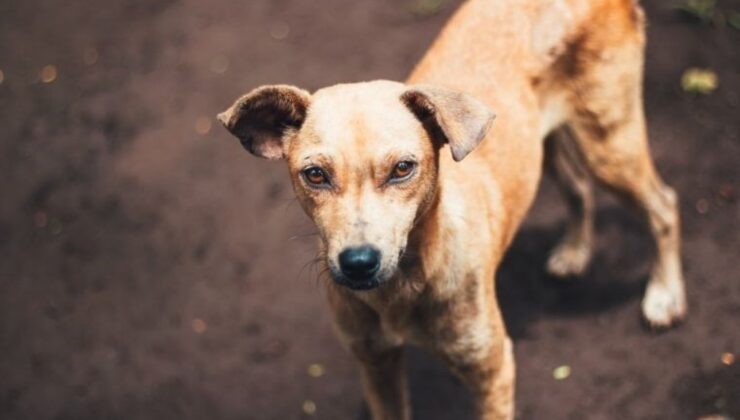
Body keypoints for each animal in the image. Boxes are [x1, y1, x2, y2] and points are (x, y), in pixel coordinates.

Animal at [217, 1, 684, 418]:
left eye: (403, 168)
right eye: (314, 174)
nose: (359, 263)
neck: (405, 285)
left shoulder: (492, 370)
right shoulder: (376, 365)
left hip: (608, 144)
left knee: (664, 205)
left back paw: (664, 297)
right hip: (544, 145)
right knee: (579, 188)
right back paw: (574, 251)